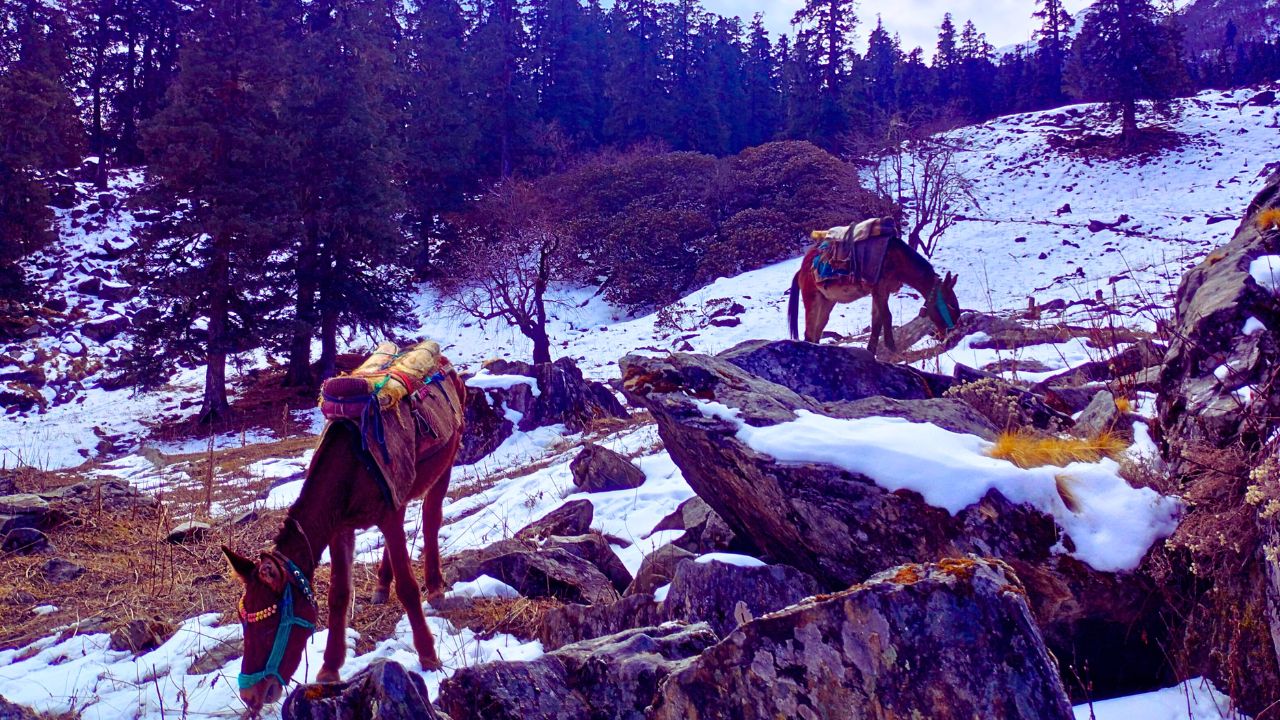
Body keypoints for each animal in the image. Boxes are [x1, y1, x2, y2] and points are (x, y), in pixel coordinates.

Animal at [221, 368, 465, 712]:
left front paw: (429, 655)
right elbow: (338, 595)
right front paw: (329, 668)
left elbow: (407, 587)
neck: (349, 471)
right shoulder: (340, 528)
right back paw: (381, 585)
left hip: (446, 462)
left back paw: (435, 586)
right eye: (243, 623)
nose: (250, 696)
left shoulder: (389, 516)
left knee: (431, 517)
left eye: (270, 624)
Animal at [788, 219, 962, 353]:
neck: (897, 259)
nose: (952, 338)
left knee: (817, 332)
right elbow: (887, 317)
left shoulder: (882, 291)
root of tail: (801, 269)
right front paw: (893, 349)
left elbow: (877, 322)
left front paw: (872, 351)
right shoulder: (878, 288)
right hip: (812, 299)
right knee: (809, 333)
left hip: (827, 302)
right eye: (951, 306)